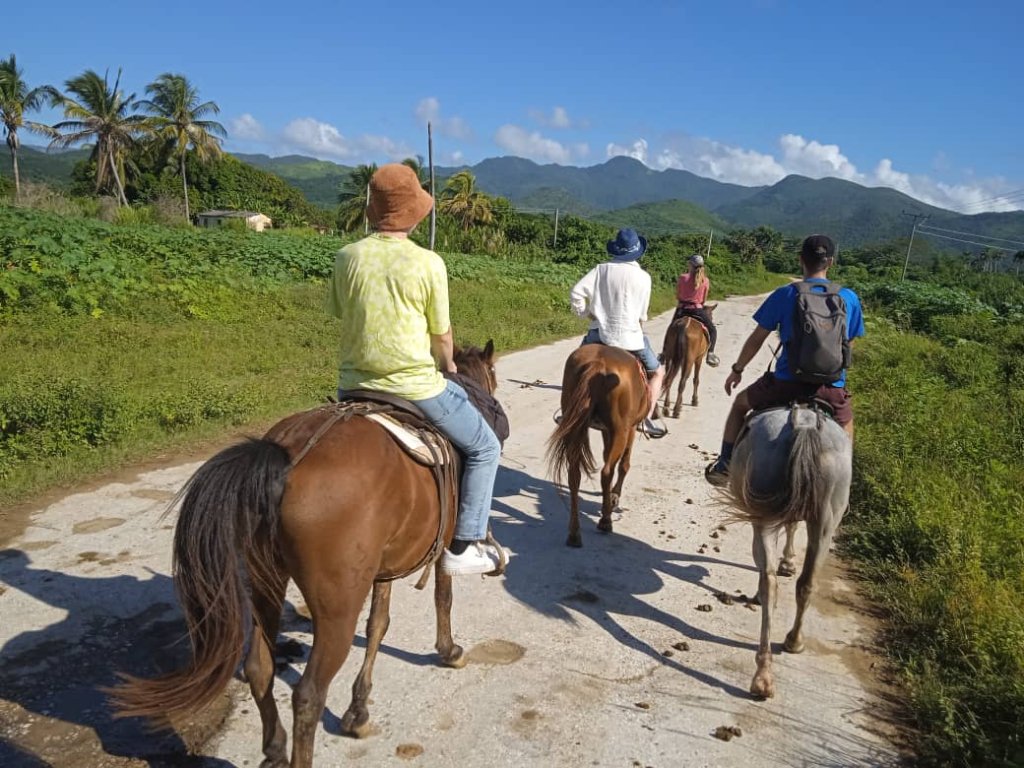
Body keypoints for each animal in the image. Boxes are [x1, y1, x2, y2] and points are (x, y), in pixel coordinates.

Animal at [109, 344, 499, 768]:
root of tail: (286, 455)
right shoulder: (444, 544)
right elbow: (443, 598)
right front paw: (448, 651)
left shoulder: (382, 569)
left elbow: (378, 624)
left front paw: (358, 710)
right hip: (336, 607)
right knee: (309, 693)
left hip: (265, 582)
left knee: (259, 667)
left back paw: (275, 748)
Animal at [544, 342, 647, 548]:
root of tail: (598, 365)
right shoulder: (629, 429)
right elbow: (624, 464)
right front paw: (614, 497)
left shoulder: (606, 431)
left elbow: (609, 456)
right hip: (620, 431)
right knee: (607, 471)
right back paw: (605, 521)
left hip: (577, 428)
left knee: (574, 475)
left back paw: (574, 534)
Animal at [724, 405, 851, 700]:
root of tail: (804, 424)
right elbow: (792, 527)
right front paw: (789, 562)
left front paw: (787, 562)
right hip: (825, 523)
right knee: (805, 583)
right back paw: (788, 647)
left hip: (765, 517)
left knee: (770, 581)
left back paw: (764, 673)